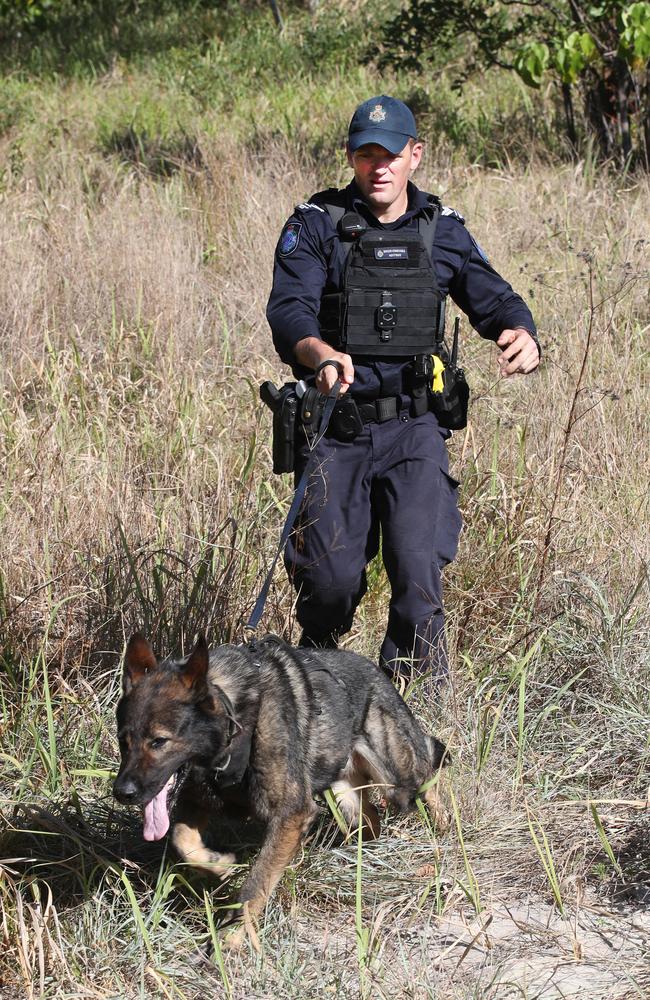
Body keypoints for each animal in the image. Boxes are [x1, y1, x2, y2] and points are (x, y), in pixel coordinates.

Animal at [114, 632, 448, 944]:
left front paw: (230, 937)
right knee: (372, 819)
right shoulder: (196, 802)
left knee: (429, 778)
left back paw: (444, 830)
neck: (235, 716)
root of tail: (379, 675)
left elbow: (256, 883)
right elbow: (182, 841)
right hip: (345, 797)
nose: (122, 792)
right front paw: (218, 865)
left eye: (159, 741)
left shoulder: (290, 814)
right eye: (123, 740)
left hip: (397, 779)